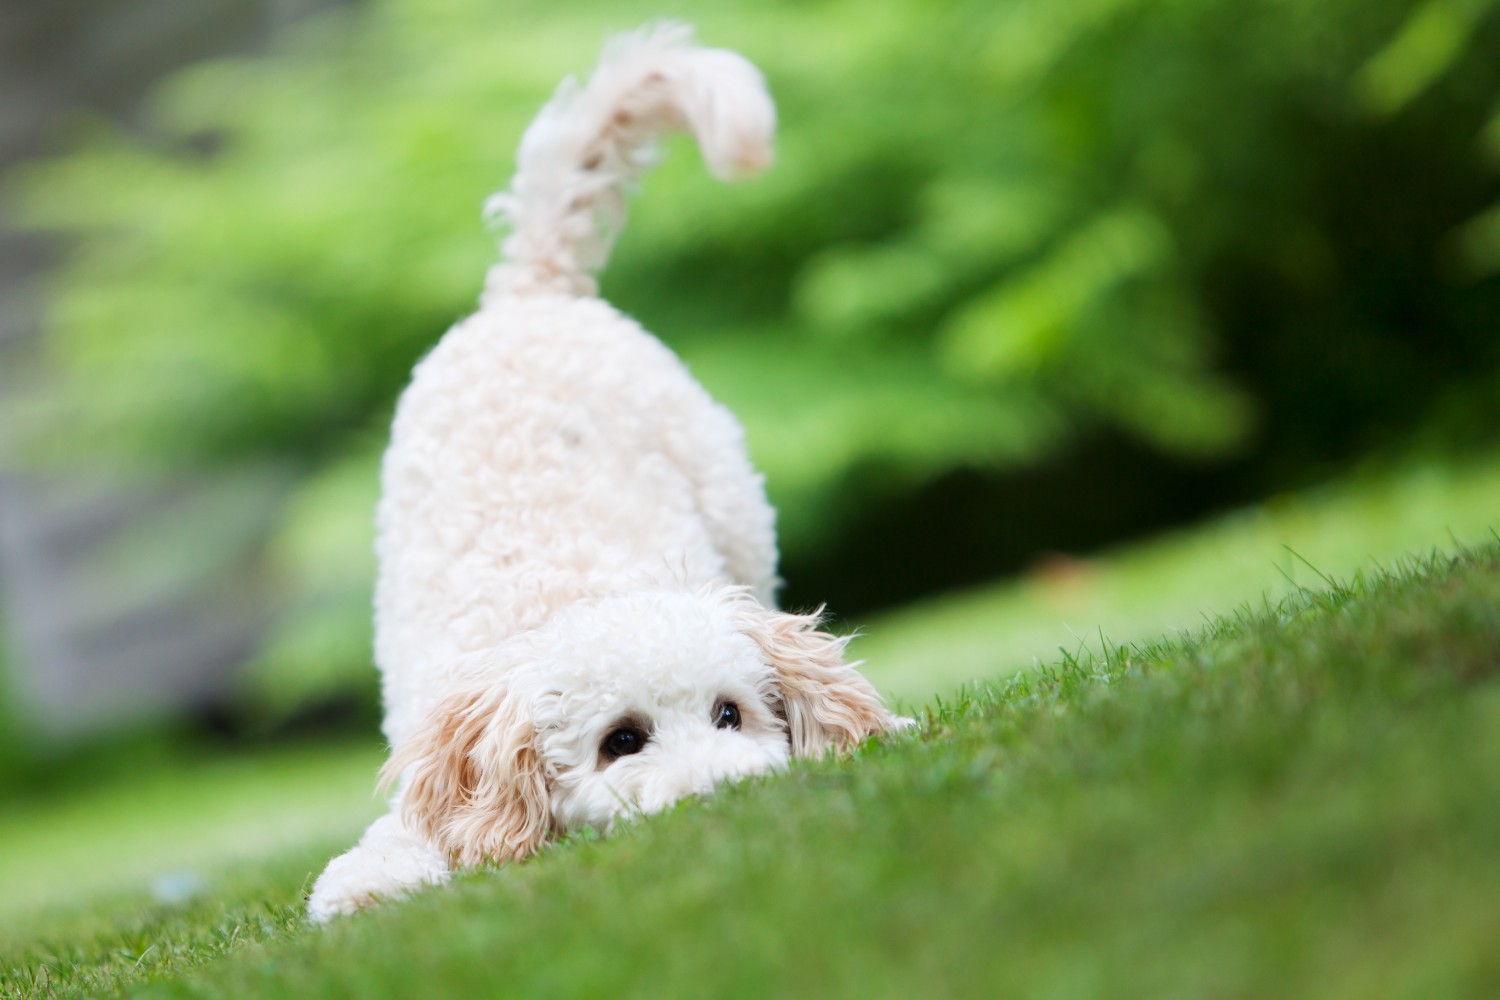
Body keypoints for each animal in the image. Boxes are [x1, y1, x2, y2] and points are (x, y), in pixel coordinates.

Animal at [307, 21, 900, 923]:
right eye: (622, 741)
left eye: (731, 715)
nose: (730, 794)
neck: (564, 599)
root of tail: (526, 291)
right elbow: (391, 852)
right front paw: (370, 889)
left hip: (742, 524)